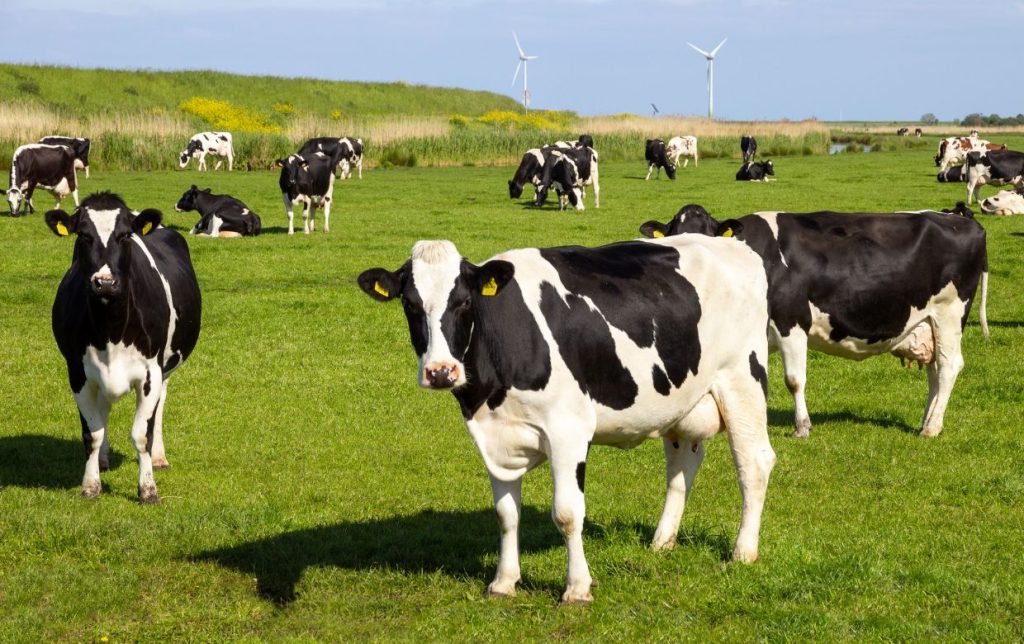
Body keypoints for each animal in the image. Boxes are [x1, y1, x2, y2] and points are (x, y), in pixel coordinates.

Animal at [44, 192, 201, 502]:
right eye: (83, 235)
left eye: (125, 235)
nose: (104, 282)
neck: (111, 329)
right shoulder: (77, 373)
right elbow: (92, 433)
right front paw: (90, 485)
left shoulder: (151, 373)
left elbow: (142, 434)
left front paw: (148, 489)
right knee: (103, 411)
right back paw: (103, 460)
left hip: (165, 368)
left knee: (159, 408)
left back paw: (159, 458)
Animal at [357, 236, 774, 603]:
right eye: (410, 304)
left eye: (463, 302)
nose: (441, 372)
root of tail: (733, 245)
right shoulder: (494, 436)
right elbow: (506, 514)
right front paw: (503, 582)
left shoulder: (567, 431)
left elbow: (568, 513)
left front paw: (577, 588)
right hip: (681, 401)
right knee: (682, 466)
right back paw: (662, 542)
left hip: (742, 379)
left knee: (754, 463)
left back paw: (743, 551)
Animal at [639, 203, 989, 439]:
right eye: (671, 237)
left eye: (708, 238)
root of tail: (960, 218)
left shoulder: (792, 320)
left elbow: (794, 379)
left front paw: (802, 427)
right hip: (928, 321)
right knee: (934, 370)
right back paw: (928, 419)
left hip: (951, 312)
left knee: (949, 366)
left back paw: (931, 427)